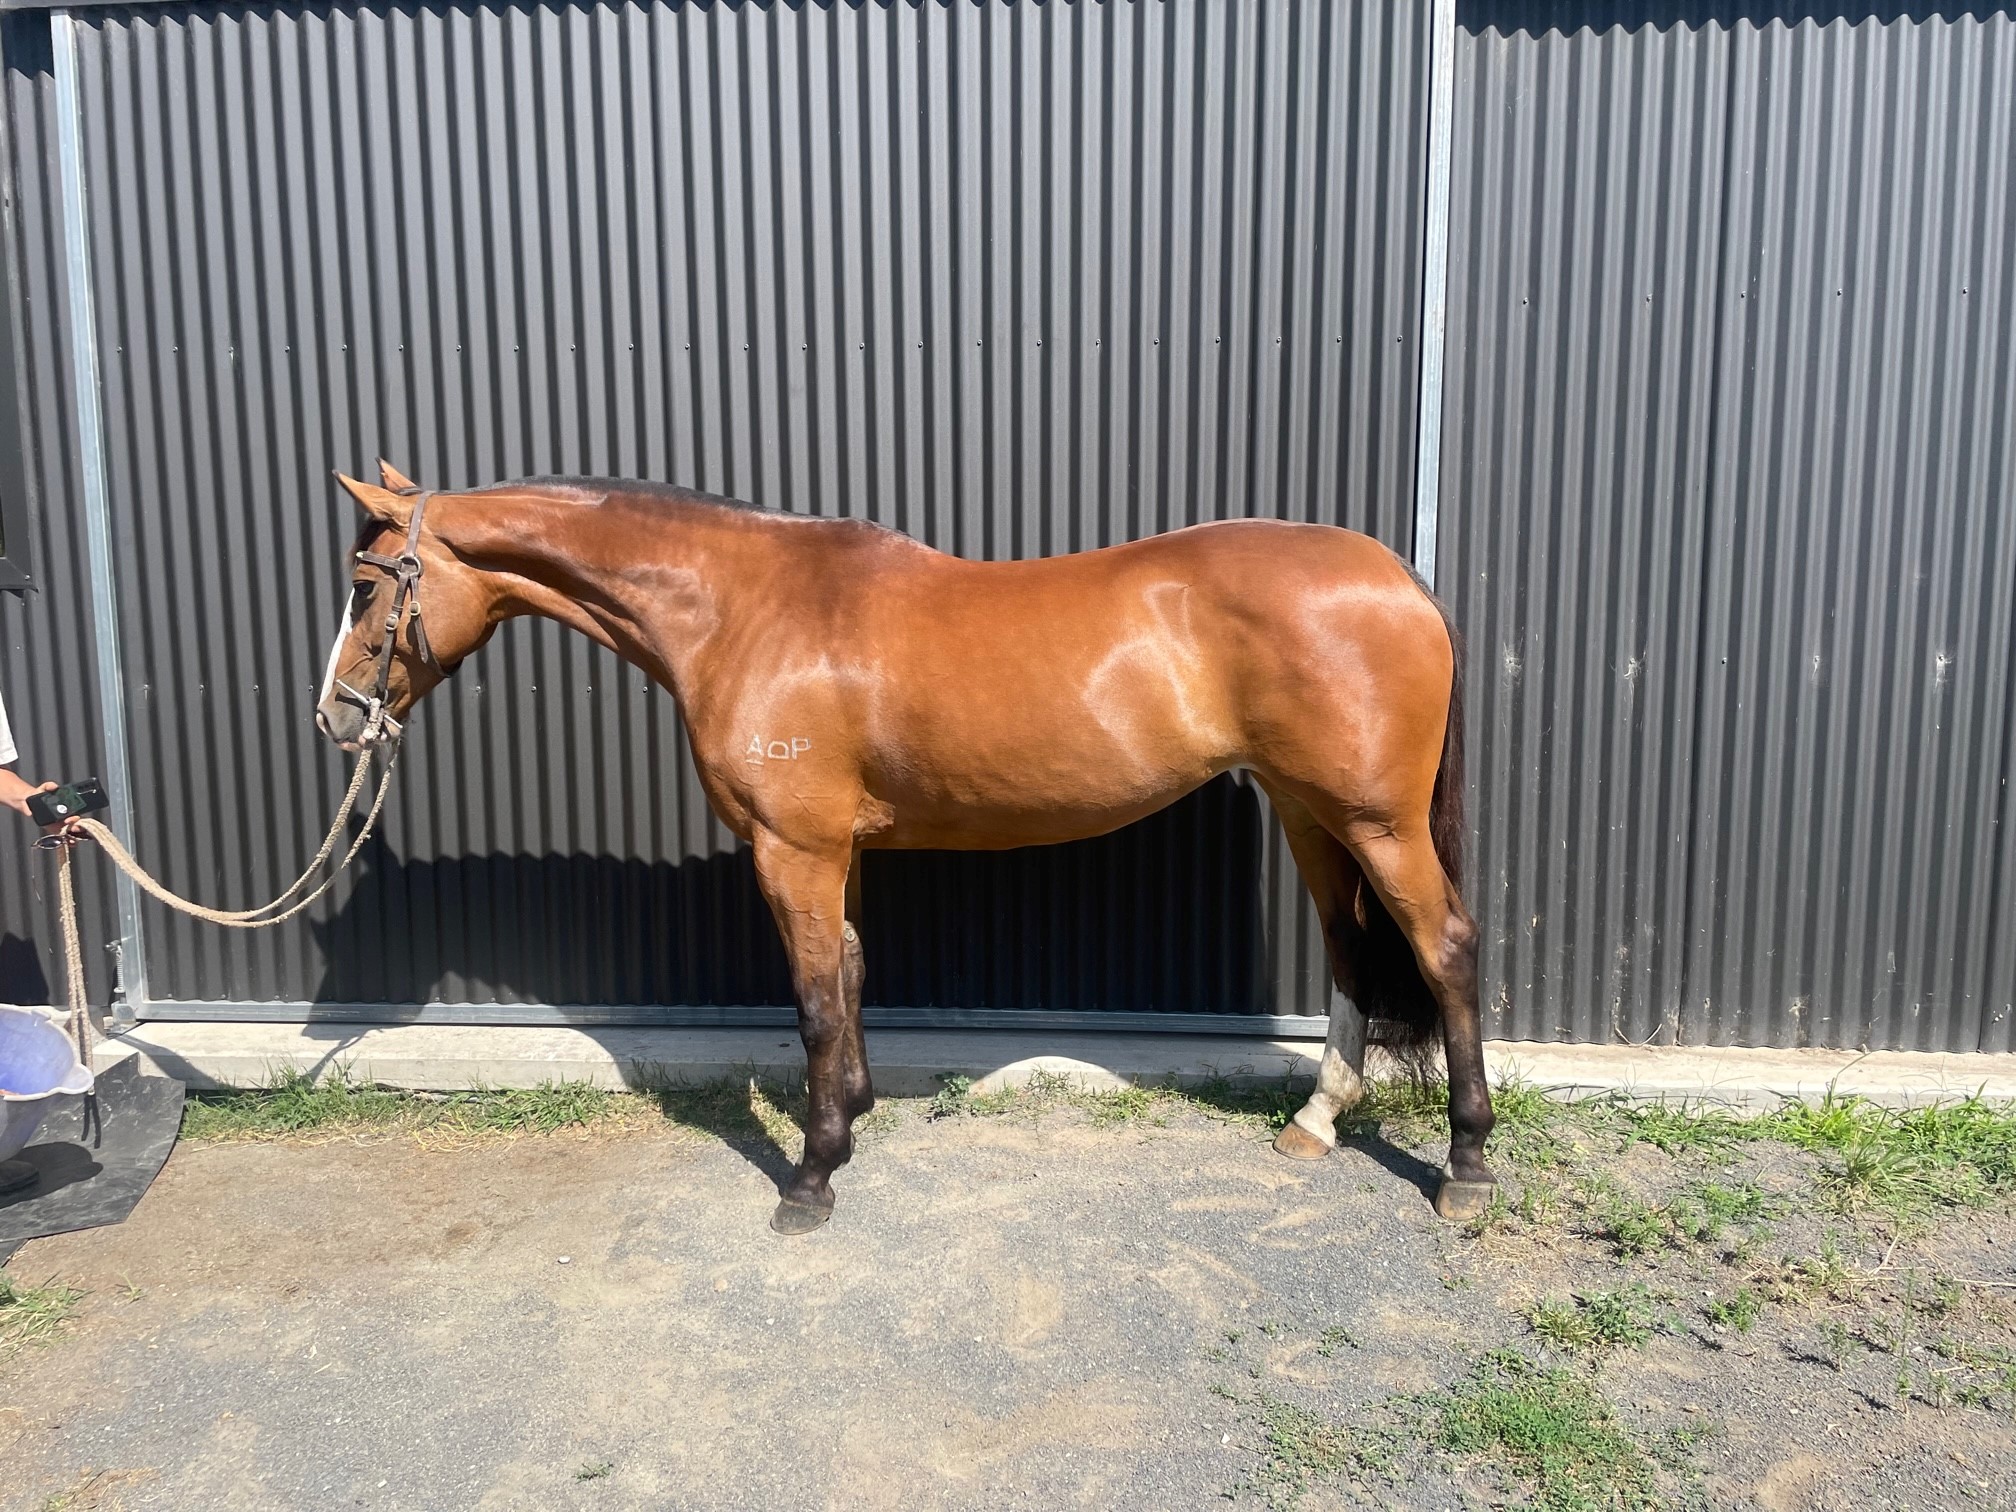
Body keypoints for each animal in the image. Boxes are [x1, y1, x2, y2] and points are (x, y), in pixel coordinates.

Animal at [315, 462, 1495, 1234]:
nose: (335, 720)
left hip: (1378, 823)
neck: (744, 609)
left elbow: (811, 1000)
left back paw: (1466, 1163)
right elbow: (849, 973)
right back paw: (1317, 1122)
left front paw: (810, 1178)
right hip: (1311, 812)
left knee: (1444, 951)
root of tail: (1398, 575)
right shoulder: (834, 851)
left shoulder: (792, 849)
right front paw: (853, 1119)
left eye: (369, 583)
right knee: (1349, 955)